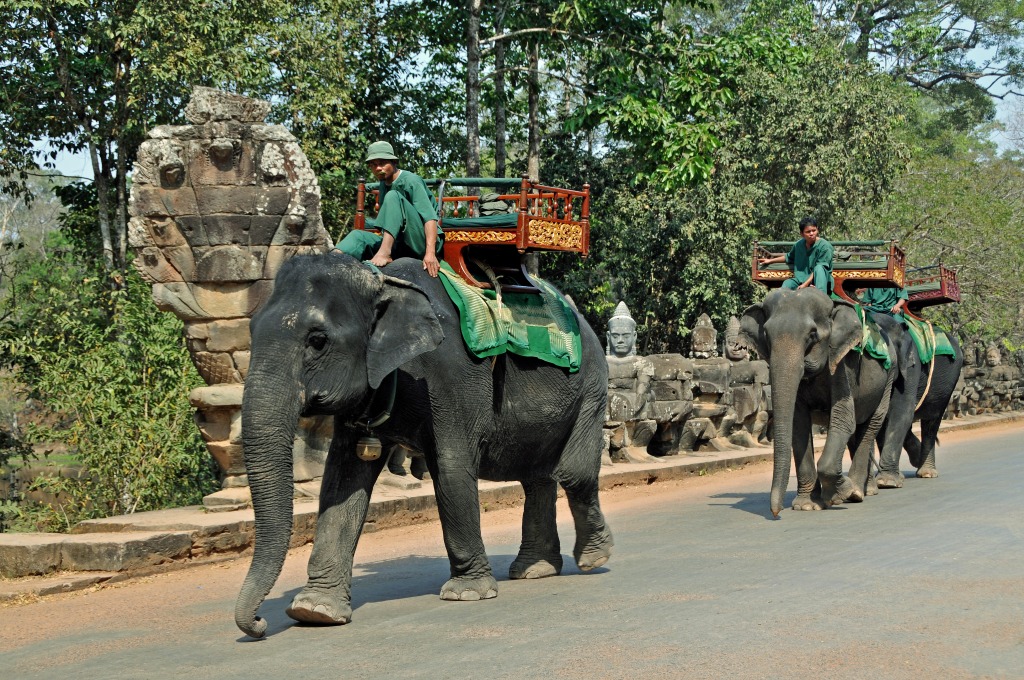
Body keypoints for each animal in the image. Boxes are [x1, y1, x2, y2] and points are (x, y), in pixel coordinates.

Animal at [235, 253, 610, 639]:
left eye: (318, 340)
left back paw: (593, 558)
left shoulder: (451, 376)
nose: (260, 624)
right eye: (251, 330)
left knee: (573, 474)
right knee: (537, 478)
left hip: (591, 388)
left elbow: (450, 467)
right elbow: (342, 481)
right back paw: (535, 570)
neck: (383, 281)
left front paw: (468, 594)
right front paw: (315, 611)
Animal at [741, 286, 901, 516]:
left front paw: (841, 492)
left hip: (889, 377)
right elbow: (798, 425)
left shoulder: (842, 364)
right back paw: (862, 489)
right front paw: (807, 505)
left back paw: (856, 492)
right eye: (767, 335)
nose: (775, 512)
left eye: (812, 334)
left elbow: (843, 418)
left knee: (871, 425)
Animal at [868, 313, 962, 483]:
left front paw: (887, 481)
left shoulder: (912, 367)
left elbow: (900, 410)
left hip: (948, 383)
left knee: (931, 423)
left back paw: (926, 472)